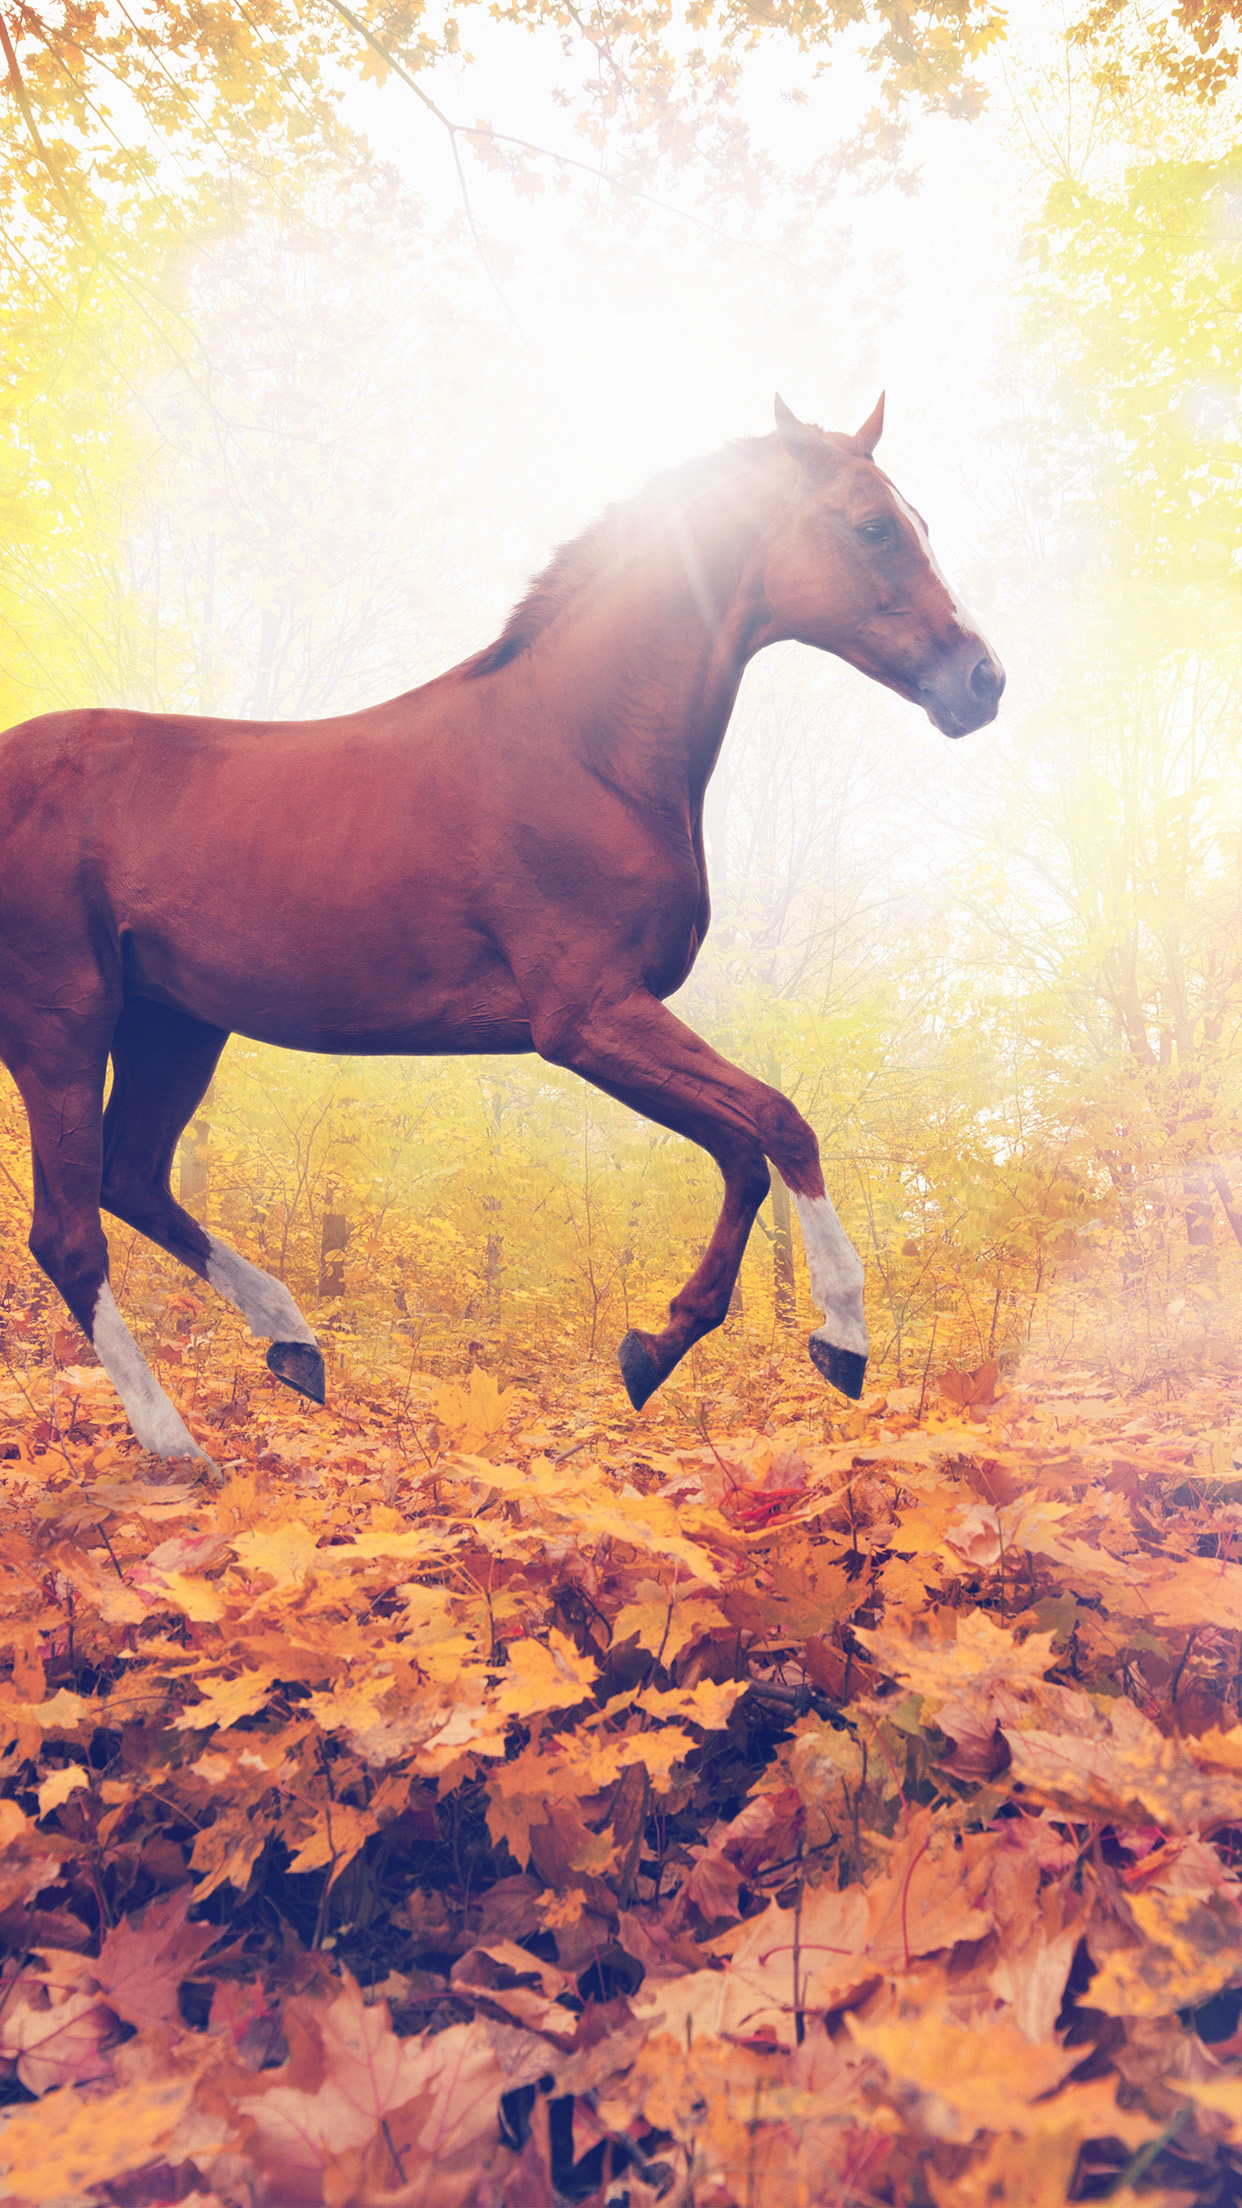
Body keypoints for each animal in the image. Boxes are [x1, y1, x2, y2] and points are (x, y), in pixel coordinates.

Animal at [0, 395, 1003, 1462]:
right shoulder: (587, 1019)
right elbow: (776, 1123)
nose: (983, 683)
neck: (582, 748)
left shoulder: (607, 1024)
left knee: (133, 1179)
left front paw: (656, 1345)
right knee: (69, 1231)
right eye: (873, 527)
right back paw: (174, 1442)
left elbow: (741, 1152)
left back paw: (294, 1343)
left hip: (175, 1027)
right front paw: (842, 1336)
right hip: (61, 1024)